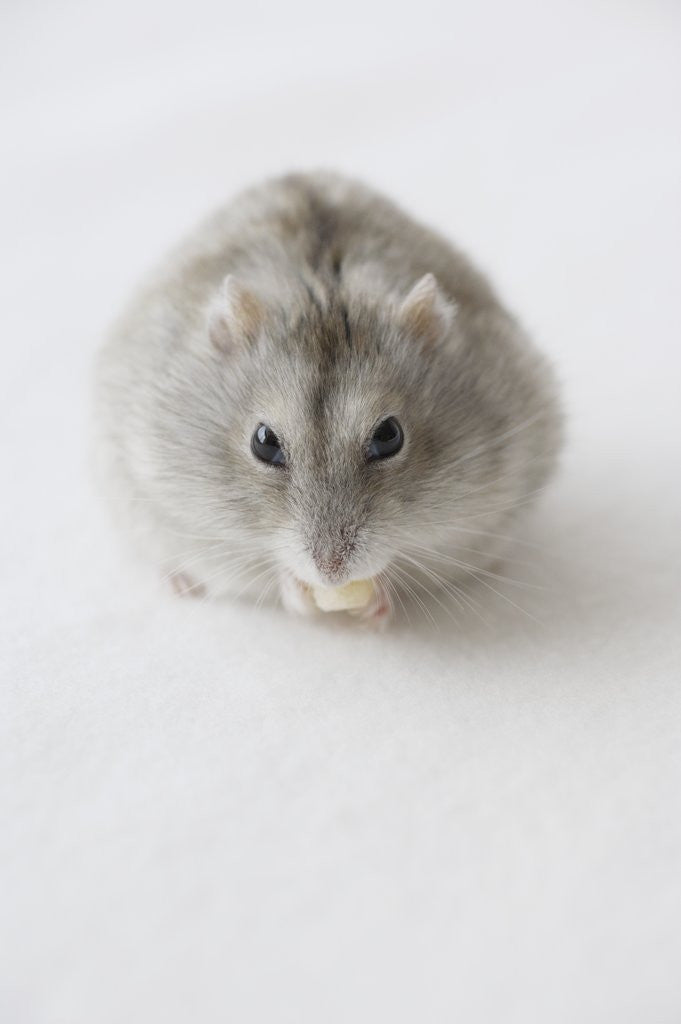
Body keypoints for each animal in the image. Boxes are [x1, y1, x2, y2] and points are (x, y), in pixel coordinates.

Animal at [95, 171, 562, 626]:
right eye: (263, 442)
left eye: (389, 436)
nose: (331, 572)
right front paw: (301, 593)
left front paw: (376, 603)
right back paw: (179, 585)